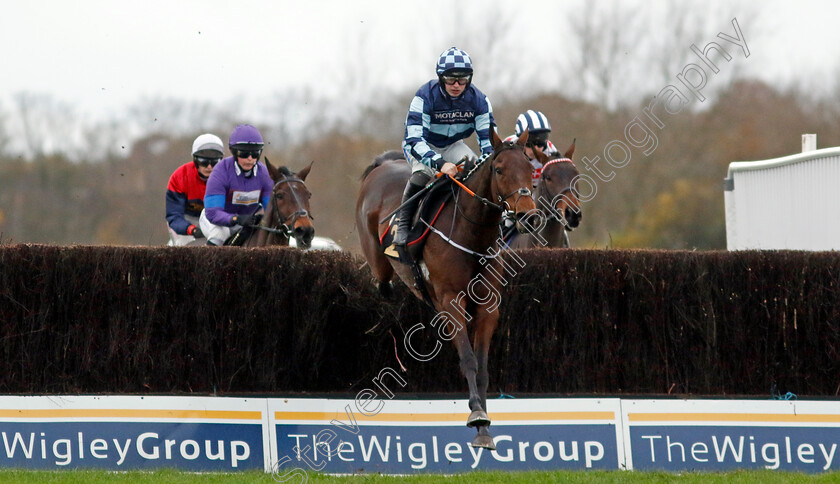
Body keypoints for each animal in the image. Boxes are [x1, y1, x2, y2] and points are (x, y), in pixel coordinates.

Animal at [356, 130, 540, 450]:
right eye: (499, 169)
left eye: (530, 169)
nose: (527, 216)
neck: (473, 235)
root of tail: (383, 164)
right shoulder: (451, 300)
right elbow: (468, 359)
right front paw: (477, 414)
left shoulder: (488, 306)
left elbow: (483, 367)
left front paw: (485, 431)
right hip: (379, 262)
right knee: (382, 280)